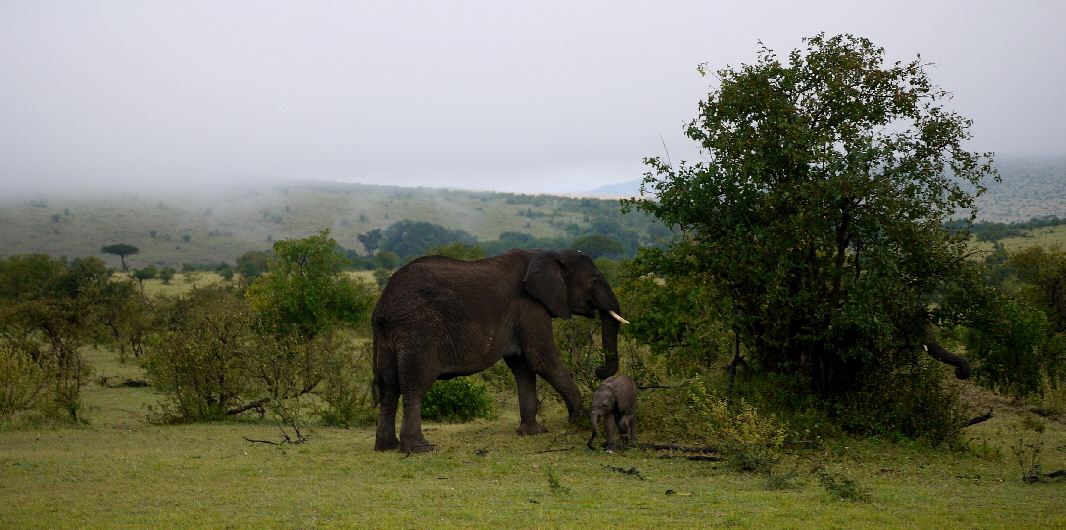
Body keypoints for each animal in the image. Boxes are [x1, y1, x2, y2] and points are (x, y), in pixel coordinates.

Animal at [373, 247, 626, 450]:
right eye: (594, 281)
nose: (598, 370)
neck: (546, 253)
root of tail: (382, 305)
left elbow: (523, 368)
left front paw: (532, 433)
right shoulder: (530, 307)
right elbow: (542, 360)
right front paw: (580, 420)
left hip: (387, 335)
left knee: (389, 386)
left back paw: (387, 447)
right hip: (418, 330)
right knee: (414, 383)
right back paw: (419, 448)